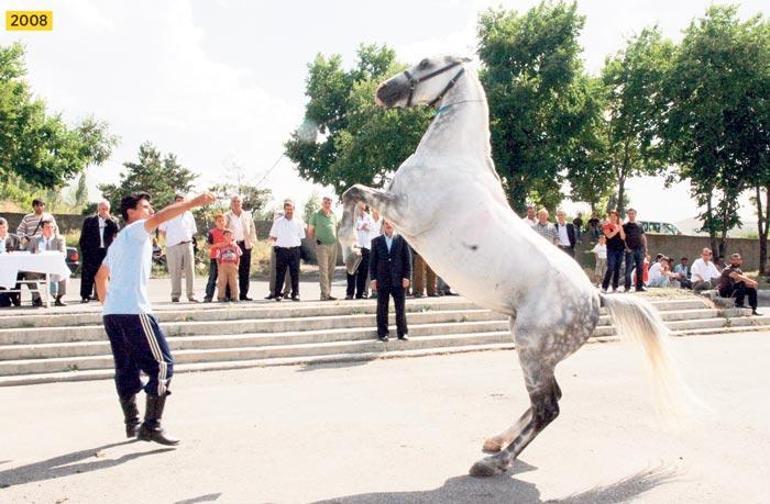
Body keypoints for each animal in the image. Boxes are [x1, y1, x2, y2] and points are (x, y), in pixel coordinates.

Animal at [340, 55, 680, 476]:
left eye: (425, 63)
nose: (382, 91)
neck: (449, 157)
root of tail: (597, 296)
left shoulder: (406, 213)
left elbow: (353, 192)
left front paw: (351, 253)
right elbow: (352, 195)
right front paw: (353, 253)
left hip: (533, 348)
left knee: (547, 407)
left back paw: (495, 462)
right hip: (532, 348)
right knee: (547, 400)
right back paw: (496, 442)